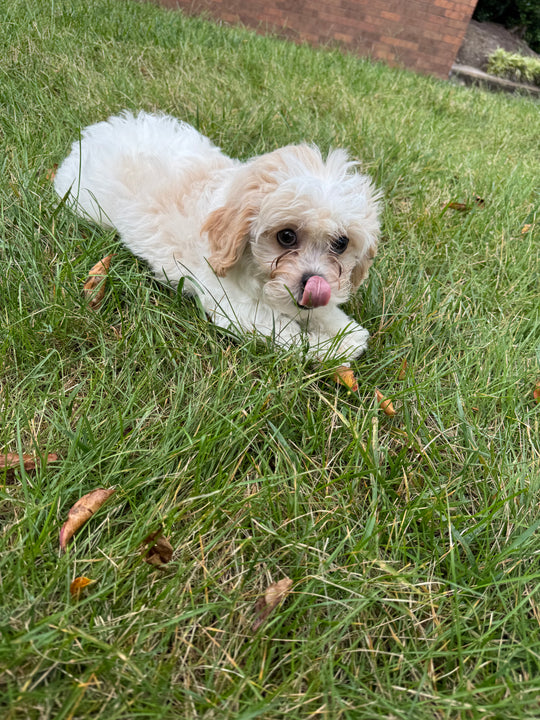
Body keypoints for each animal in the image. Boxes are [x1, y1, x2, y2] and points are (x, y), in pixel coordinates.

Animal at [54, 112, 380, 360]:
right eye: (286, 236)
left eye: (341, 243)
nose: (314, 283)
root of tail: (93, 136)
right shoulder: (241, 311)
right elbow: (291, 337)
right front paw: (334, 347)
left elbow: (326, 313)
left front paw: (346, 330)